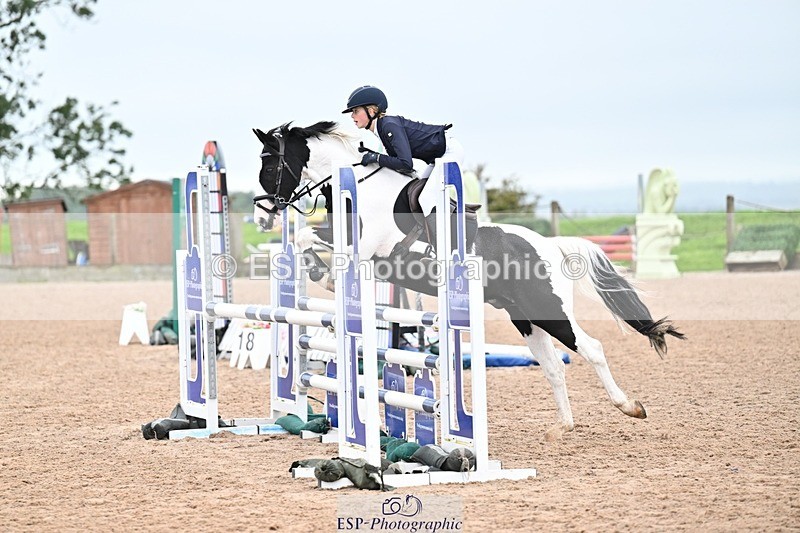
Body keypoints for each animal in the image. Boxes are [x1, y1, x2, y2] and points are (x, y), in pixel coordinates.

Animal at [252, 121, 684, 441]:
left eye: (270, 168)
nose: (262, 214)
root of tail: (550, 245)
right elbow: (306, 239)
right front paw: (316, 272)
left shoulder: (368, 247)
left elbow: (317, 244)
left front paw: (322, 275)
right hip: (525, 318)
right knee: (552, 367)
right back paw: (563, 426)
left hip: (550, 310)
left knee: (592, 348)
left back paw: (630, 407)